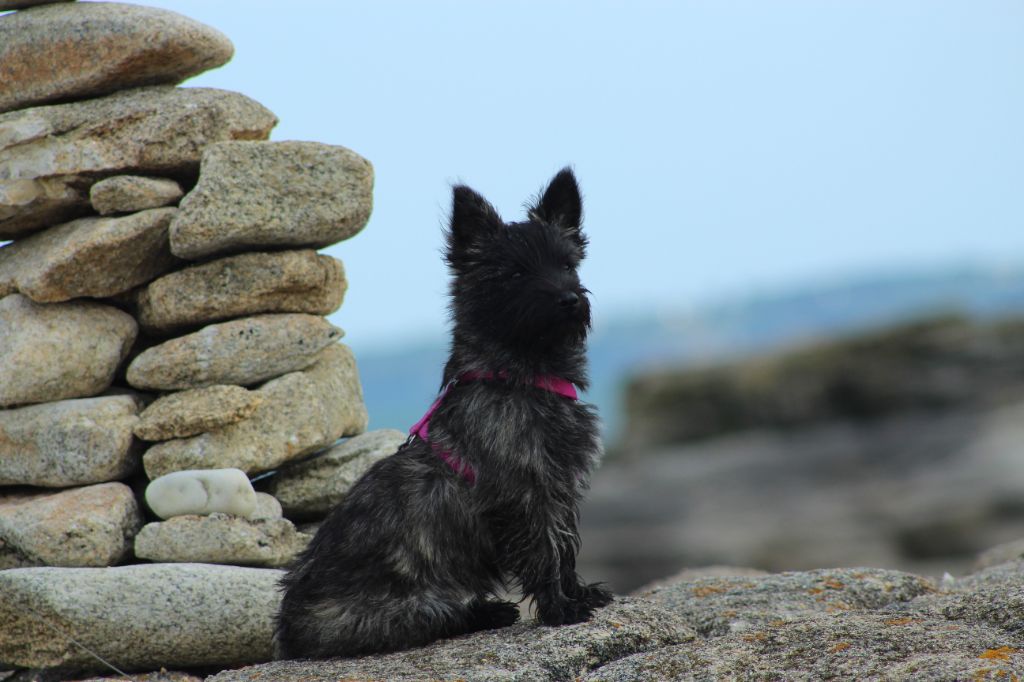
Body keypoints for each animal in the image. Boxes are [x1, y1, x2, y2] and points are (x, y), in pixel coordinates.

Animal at [272, 166, 610, 655]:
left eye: (567, 264)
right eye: (515, 272)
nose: (569, 299)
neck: (519, 376)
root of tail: (289, 627)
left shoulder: (559, 486)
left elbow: (565, 546)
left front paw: (578, 594)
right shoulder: (528, 492)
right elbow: (546, 549)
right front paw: (561, 608)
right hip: (411, 608)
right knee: (441, 618)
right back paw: (486, 612)